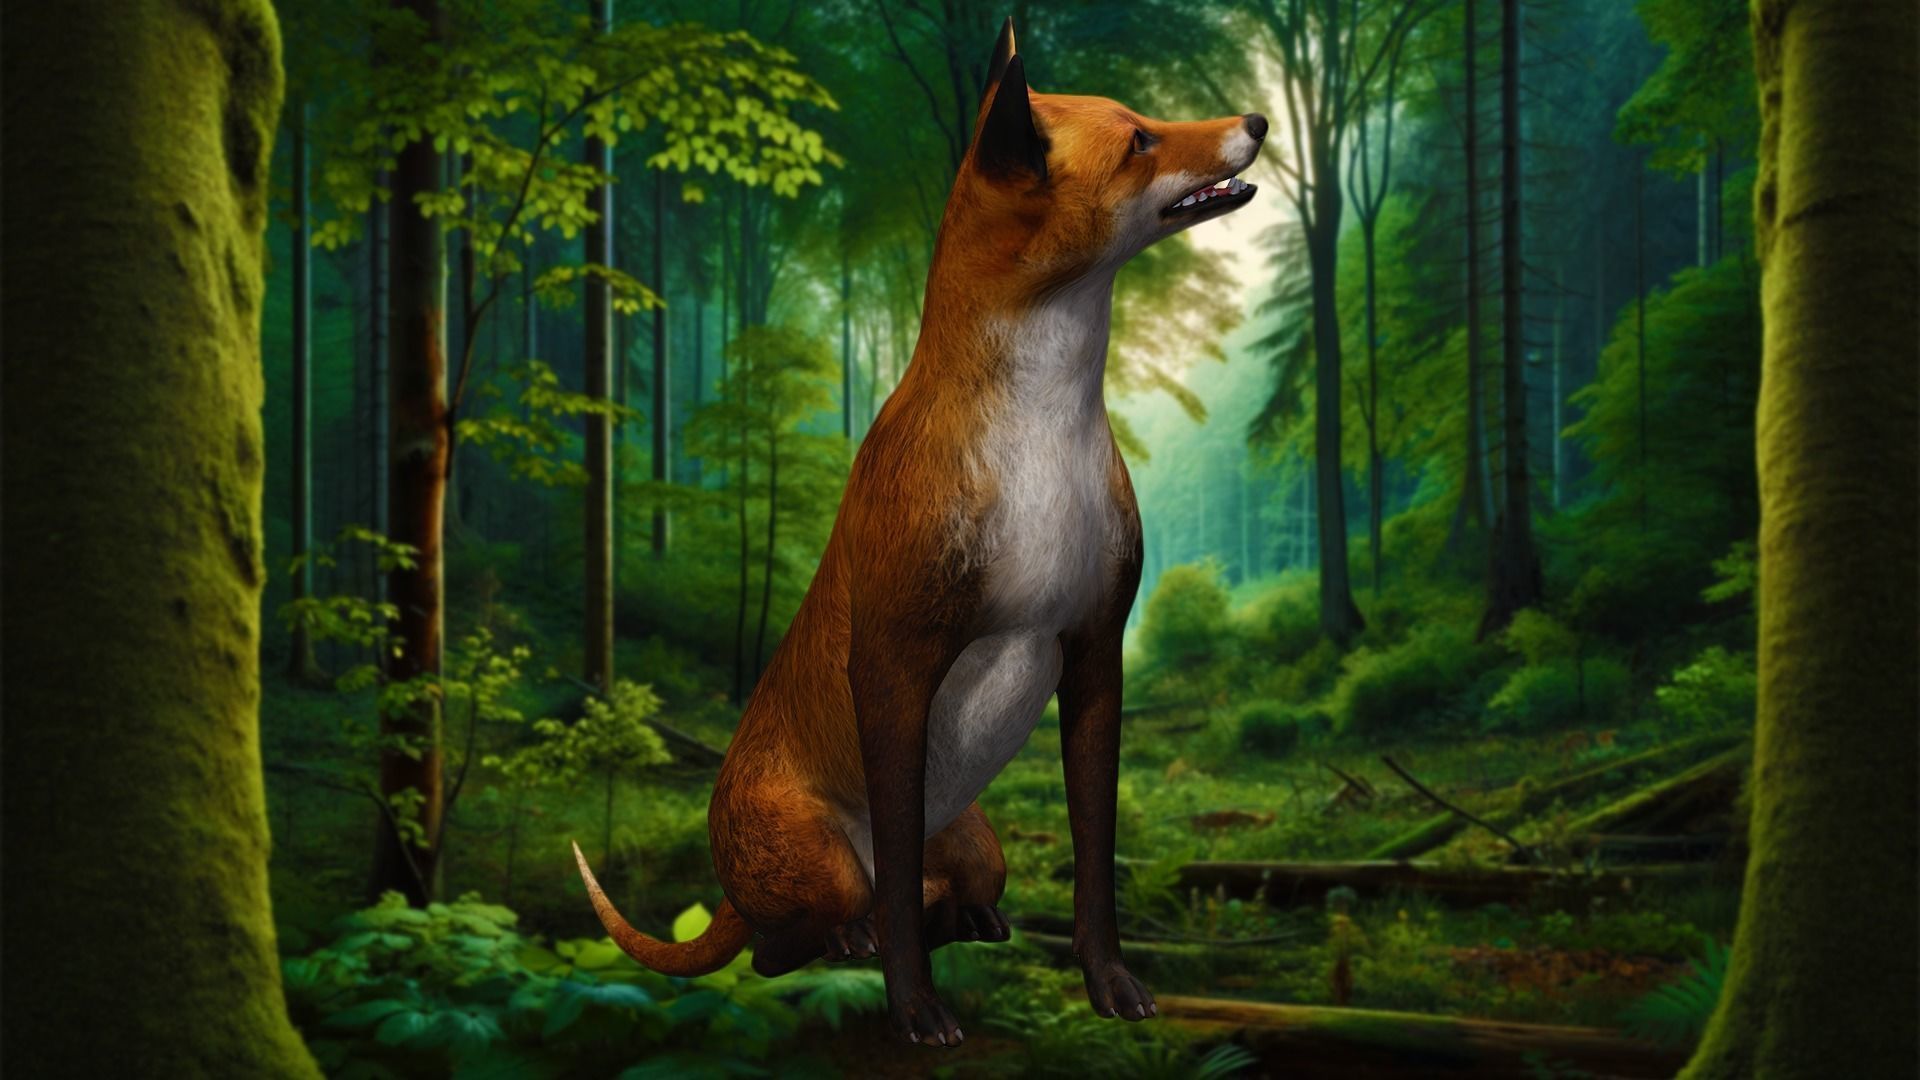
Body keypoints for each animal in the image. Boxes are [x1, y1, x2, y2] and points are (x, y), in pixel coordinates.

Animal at [574, 17, 1264, 1046]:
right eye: (1140, 138)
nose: (1255, 121)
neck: (1037, 430)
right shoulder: (895, 665)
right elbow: (896, 882)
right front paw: (915, 1010)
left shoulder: (1095, 652)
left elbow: (1093, 862)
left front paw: (1111, 986)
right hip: (821, 856)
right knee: (802, 932)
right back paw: (848, 940)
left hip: (979, 840)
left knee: (945, 891)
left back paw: (974, 919)